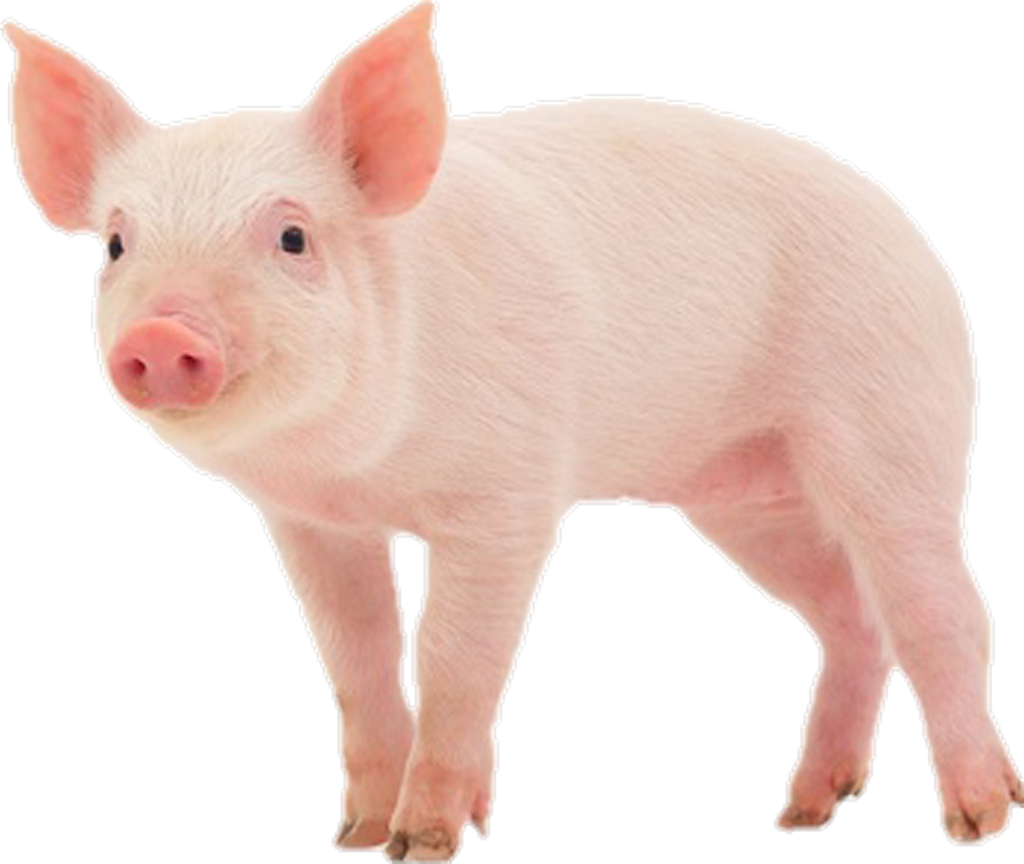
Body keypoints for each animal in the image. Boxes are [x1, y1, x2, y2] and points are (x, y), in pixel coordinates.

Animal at [3, 1, 1021, 858]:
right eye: (117, 245)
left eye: (292, 237)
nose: (158, 334)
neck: (362, 468)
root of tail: (915, 236)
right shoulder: (311, 520)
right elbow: (357, 658)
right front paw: (357, 838)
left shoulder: (508, 496)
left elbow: (455, 654)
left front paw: (425, 843)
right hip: (744, 496)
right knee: (852, 617)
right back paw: (802, 814)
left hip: (895, 426)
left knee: (944, 611)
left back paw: (978, 817)